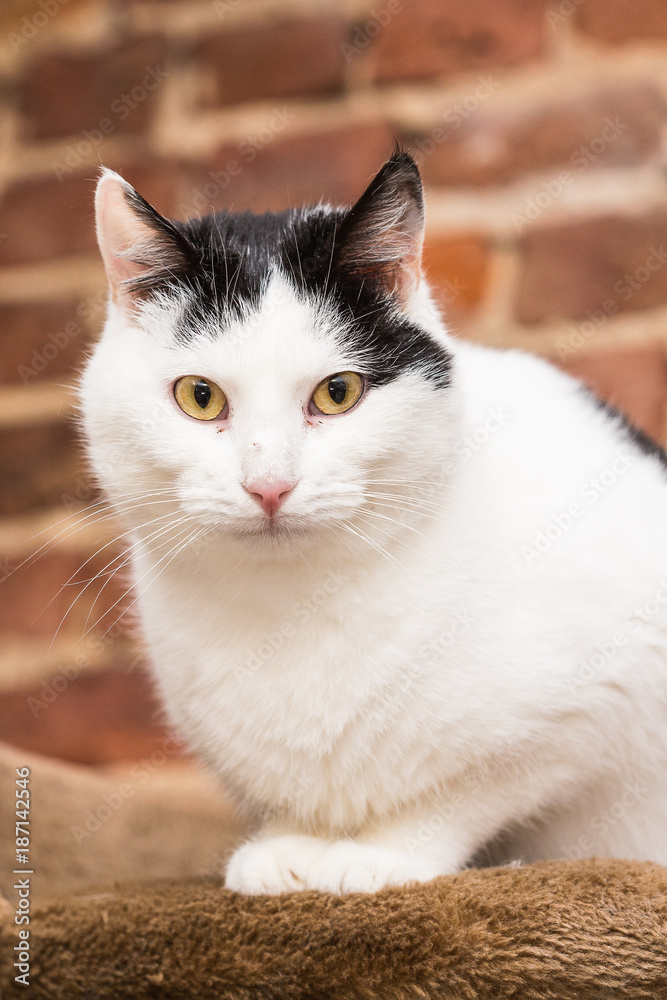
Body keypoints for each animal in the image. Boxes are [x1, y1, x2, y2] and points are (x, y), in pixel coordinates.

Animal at [81, 152, 667, 896]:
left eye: (338, 393)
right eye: (200, 396)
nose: (268, 484)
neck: (292, 608)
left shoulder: (610, 681)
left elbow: (467, 791)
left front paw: (382, 855)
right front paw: (287, 843)